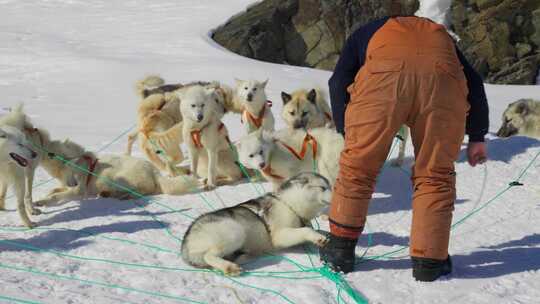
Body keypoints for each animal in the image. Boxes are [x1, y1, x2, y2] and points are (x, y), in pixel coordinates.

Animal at [181, 173, 330, 276]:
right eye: (323, 188)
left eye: (329, 186)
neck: (290, 204)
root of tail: (185, 244)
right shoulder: (278, 236)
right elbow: (305, 230)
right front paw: (318, 237)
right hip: (235, 231)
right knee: (209, 256)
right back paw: (228, 267)